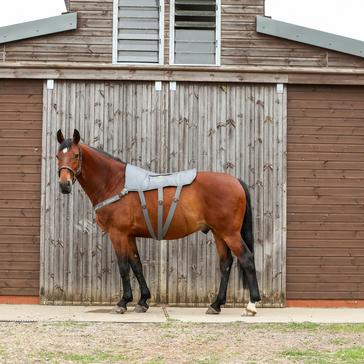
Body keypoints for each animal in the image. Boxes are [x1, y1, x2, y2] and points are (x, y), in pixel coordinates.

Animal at [57, 129, 260, 314]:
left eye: (76, 155)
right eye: (58, 156)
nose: (64, 185)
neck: (114, 182)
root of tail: (236, 181)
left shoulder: (118, 234)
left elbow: (123, 267)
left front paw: (123, 302)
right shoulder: (129, 235)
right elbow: (136, 265)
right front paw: (142, 301)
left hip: (229, 233)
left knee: (247, 258)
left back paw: (251, 304)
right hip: (219, 233)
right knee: (226, 264)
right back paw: (216, 304)